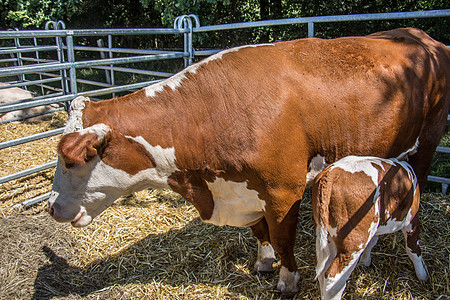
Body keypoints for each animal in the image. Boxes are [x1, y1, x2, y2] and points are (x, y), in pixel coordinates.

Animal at [312, 157, 426, 300]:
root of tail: (332, 173)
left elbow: (372, 243)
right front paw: (422, 275)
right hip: (353, 242)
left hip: (327, 234)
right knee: (333, 279)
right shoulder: (412, 220)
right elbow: (413, 249)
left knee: (322, 270)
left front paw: (365, 262)